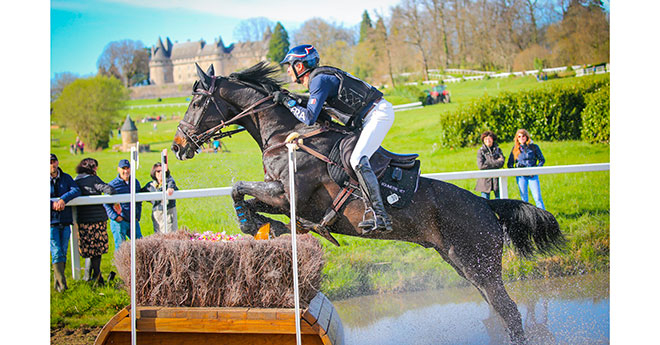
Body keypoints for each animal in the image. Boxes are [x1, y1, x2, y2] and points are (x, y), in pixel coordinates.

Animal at [170, 61, 564, 342]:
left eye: (196, 102)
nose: (177, 146)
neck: (285, 135)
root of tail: (487, 206)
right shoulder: (280, 196)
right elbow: (248, 197)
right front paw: (266, 227)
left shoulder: (286, 193)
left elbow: (238, 187)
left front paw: (253, 224)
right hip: (465, 265)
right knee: (499, 311)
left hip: (479, 265)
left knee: (510, 312)